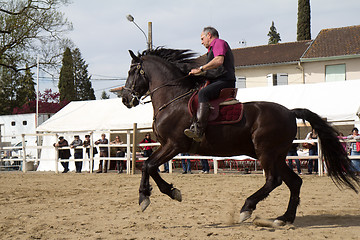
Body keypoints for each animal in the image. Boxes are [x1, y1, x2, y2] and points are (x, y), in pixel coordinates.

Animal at [121, 48, 360, 225]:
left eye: (132, 71)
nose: (125, 98)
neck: (173, 100)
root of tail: (290, 112)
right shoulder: (166, 145)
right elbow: (149, 166)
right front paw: (160, 193)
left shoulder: (174, 145)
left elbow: (149, 165)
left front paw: (150, 196)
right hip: (277, 155)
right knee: (294, 182)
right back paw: (284, 218)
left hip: (266, 152)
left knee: (274, 180)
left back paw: (247, 207)